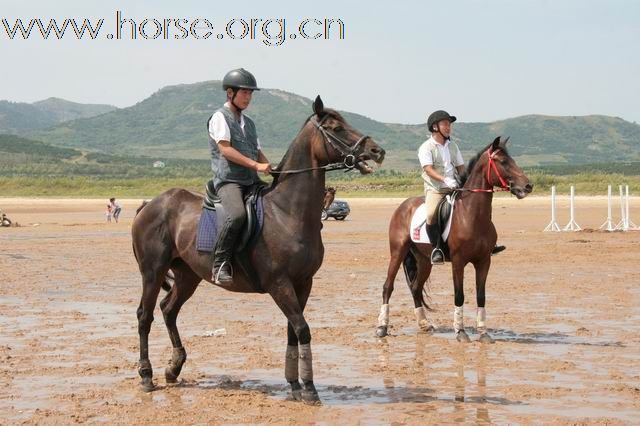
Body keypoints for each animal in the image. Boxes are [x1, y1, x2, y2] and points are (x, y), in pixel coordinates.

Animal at [131, 96, 384, 402]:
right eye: (337, 128)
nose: (377, 151)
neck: (287, 213)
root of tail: (150, 204)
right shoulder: (279, 284)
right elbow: (302, 329)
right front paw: (309, 389)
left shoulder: (303, 283)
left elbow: (292, 331)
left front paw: (294, 385)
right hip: (152, 273)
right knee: (145, 316)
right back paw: (146, 375)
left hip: (187, 275)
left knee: (169, 309)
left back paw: (173, 368)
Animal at [378, 136, 532, 342]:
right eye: (503, 161)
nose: (528, 186)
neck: (472, 215)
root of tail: (403, 206)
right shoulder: (458, 262)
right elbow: (459, 295)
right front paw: (461, 332)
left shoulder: (484, 261)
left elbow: (481, 296)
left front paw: (483, 332)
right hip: (398, 252)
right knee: (388, 287)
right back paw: (381, 328)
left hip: (424, 260)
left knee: (416, 288)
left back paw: (424, 324)